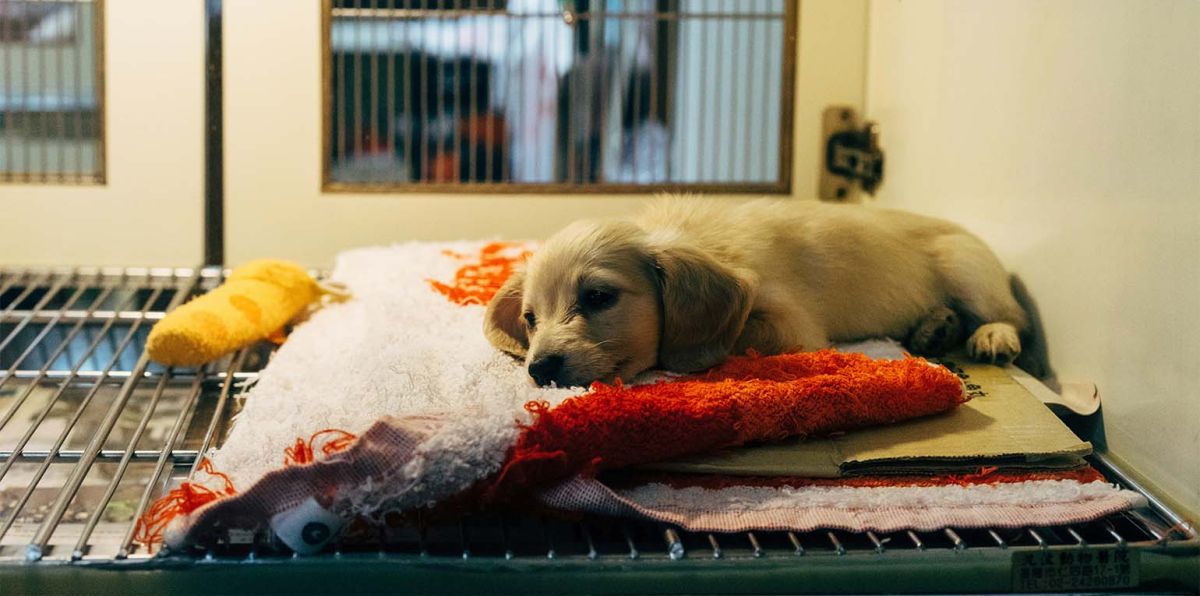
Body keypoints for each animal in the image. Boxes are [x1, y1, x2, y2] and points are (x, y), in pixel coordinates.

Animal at [482, 197, 1027, 388]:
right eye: (530, 319)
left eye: (598, 297)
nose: (539, 370)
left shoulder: (793, 324)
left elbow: (736, 336)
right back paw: (936, 327)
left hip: (967, 268)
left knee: (1009, 315)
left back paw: (992, 335)